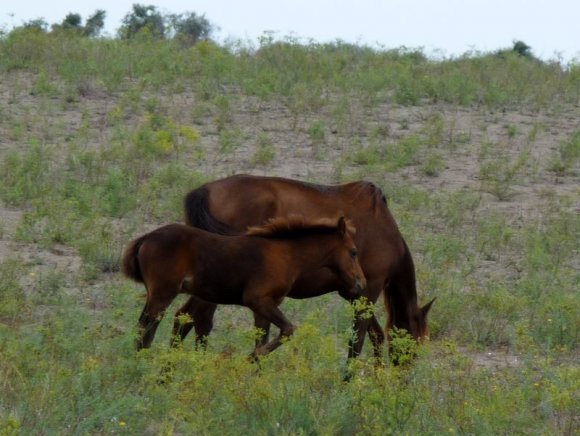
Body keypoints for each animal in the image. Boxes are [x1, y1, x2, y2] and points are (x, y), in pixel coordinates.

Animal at [122, 215, 364, 358]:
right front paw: (247, 360)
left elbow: (264, 339)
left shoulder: (266, 305)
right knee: (146, 328)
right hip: (163, 293)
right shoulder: (256, 299)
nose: (361, 283)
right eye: (353, 252)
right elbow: (287, 330)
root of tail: (146, 238)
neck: (287, 256)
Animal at [182, 174, 436, 362]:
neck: (385, 231)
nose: (403, 380)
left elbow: (376, 335)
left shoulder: (353, 293)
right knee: (196, 318)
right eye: (414, 346)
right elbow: (360, 340)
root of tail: (203, 191)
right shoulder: (368, 290)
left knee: (186, 317)